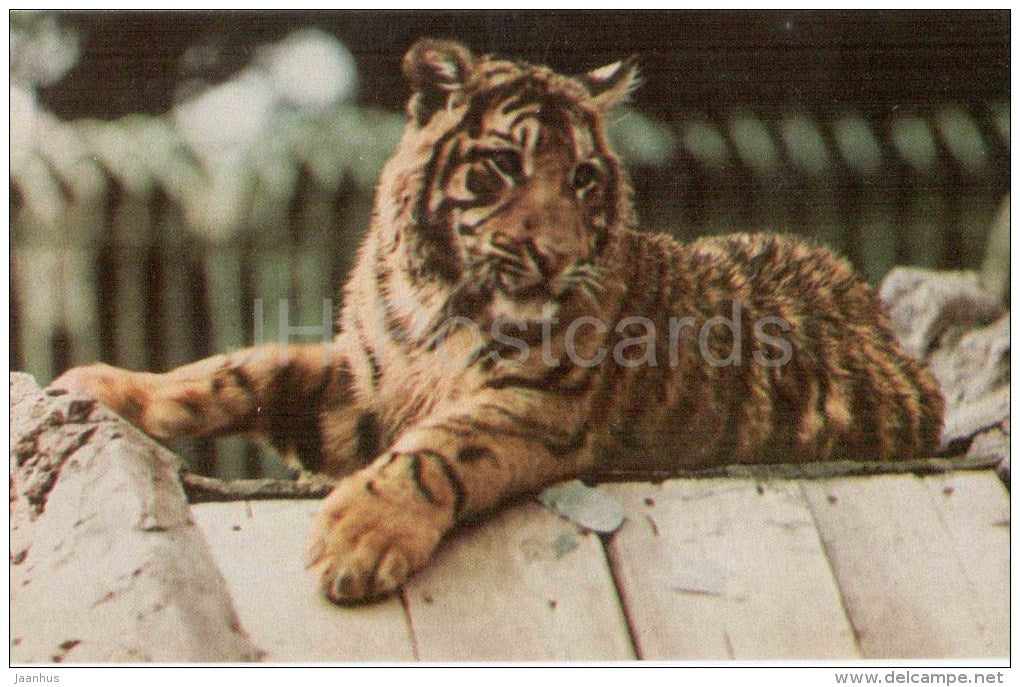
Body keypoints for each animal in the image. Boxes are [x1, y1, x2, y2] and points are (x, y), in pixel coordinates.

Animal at [53, 39, 945, 604]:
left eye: (582, 177)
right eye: (504, 166)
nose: (553, 255)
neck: (441, 296)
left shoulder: (536, 403)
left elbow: (437, 449)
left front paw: (356, 537)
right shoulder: (361, 390)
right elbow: (240, 368)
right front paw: (97, 383)